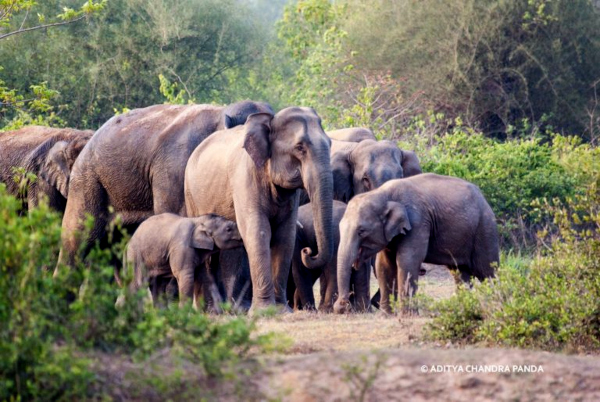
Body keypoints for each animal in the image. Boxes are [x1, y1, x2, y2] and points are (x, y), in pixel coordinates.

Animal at [184, 108, 332, 312]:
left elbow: (285, 236)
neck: (269, 121)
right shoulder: (245, 178)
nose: (308, 251)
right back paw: (209, 311)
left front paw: (281, 310)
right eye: (300, 147)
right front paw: (264, 310)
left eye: (330, 143)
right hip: (191, 195)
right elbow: (259, 232)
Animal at [336, 174, 500, 316]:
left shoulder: (417, 222)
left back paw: (497, 305)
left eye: (361, 231)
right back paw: (462, 309)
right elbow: (384, 265)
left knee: (486, 270)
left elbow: (408, 260)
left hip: (484, 228)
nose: (341, 306)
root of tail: (484, 199)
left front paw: (408, 315)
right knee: (460, 273)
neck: (382, 194)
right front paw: (386, 315)